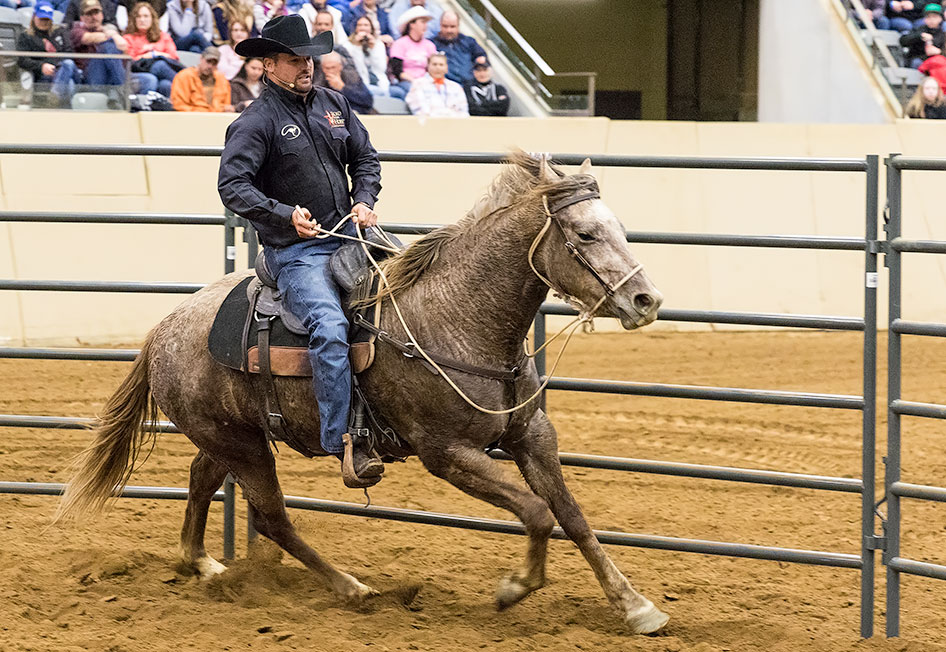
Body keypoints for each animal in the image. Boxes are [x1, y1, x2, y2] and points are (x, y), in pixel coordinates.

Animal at [55, 152, 668, 632]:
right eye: (585, 234)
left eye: (618, 226)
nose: (646, 300)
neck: (458, 317)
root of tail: (164, 328)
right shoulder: (447, 453)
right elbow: (538, 512)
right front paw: (514, 587)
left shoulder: (532, 435)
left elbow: (572, 515)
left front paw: (635, 606)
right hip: (244, 447)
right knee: (273, 518)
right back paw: (353, 588)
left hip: (230, 435)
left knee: (202, 480)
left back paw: (201, 563)